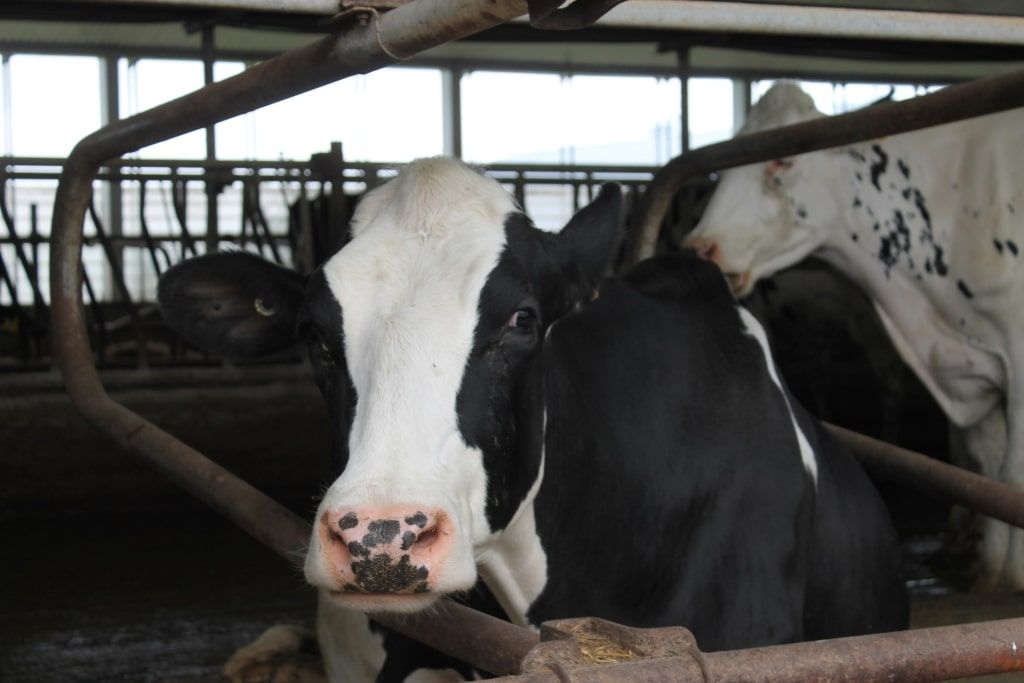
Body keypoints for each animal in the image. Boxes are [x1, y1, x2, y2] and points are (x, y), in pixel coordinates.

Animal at [685, 81, 1024, 589]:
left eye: (784, 160)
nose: (700, 246)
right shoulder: (967, 366)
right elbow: (987, 468)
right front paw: (988, 571)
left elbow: (1013, 474)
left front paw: (1013, 577)